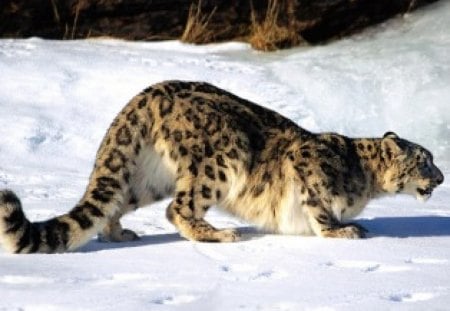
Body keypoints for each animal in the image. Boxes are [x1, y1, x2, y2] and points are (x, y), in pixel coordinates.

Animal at [0, 80, 442, 254]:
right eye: (424, 160)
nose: (441, 177)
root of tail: (147, 94)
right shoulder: (307, 168)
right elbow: (318, 208)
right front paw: (343, 230)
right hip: (224, 157)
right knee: (178, 208)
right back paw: (219, 234)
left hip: (146, 177)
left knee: (117, 201)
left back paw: (119, 234)